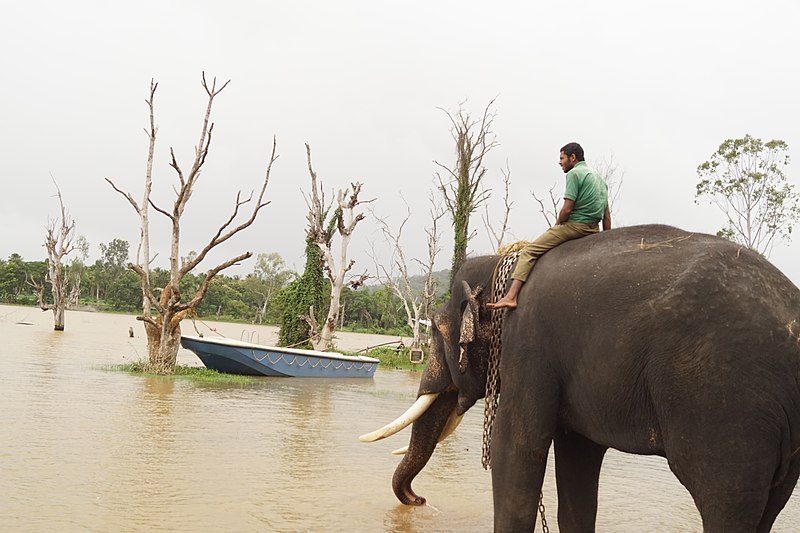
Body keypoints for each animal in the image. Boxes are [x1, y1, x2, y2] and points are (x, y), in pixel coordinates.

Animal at [360, 224, 800, 532]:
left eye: (435, 330)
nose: (419, 500)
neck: (502, 265)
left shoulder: (528, 349)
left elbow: (515, 447)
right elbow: (577, 457)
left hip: (726, 408)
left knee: (725, 501)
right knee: (769, 505)